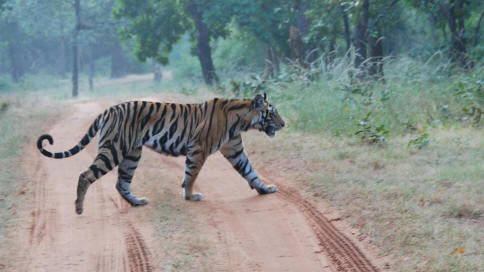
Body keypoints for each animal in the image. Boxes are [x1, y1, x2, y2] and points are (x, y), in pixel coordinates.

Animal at [38, 93, 288, 215]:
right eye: (272, 113)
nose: (284, 124)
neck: (242, 121)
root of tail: (108, 110)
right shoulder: (198, 149)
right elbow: (191, 175)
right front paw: (191, 196)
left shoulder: (235, 150)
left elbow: (250, 172)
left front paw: (266, 189)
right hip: (114, 149)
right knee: (85, 175)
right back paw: (79, 208)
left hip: (132, 154)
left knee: (121, 183)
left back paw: (137, 202)